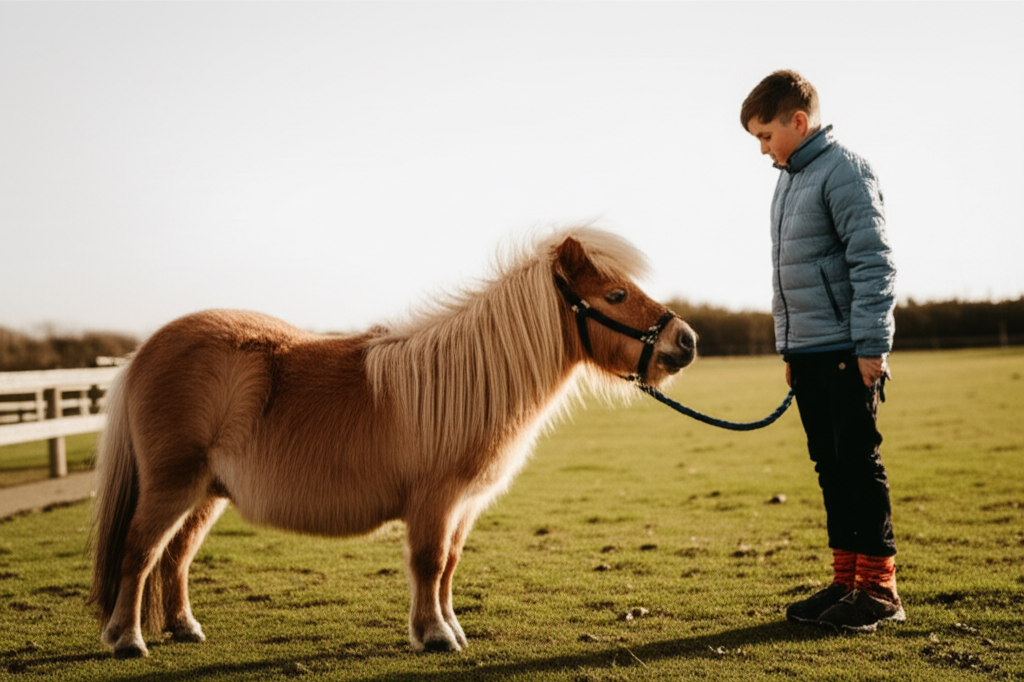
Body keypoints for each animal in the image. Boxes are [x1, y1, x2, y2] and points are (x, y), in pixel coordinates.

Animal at [88, 226, 697, 658]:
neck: (471, 380)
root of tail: (142, 354)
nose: (686, 341)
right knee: (141, 552)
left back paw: (184, 628)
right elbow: (428, 563)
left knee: (176, 556)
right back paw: (127, 640)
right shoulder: (435, 501)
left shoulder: (463, 507)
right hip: (173, 485)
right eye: (615, 294)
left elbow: (449, 566)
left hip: (205, 494)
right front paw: (434, 636)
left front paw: (450, 627)